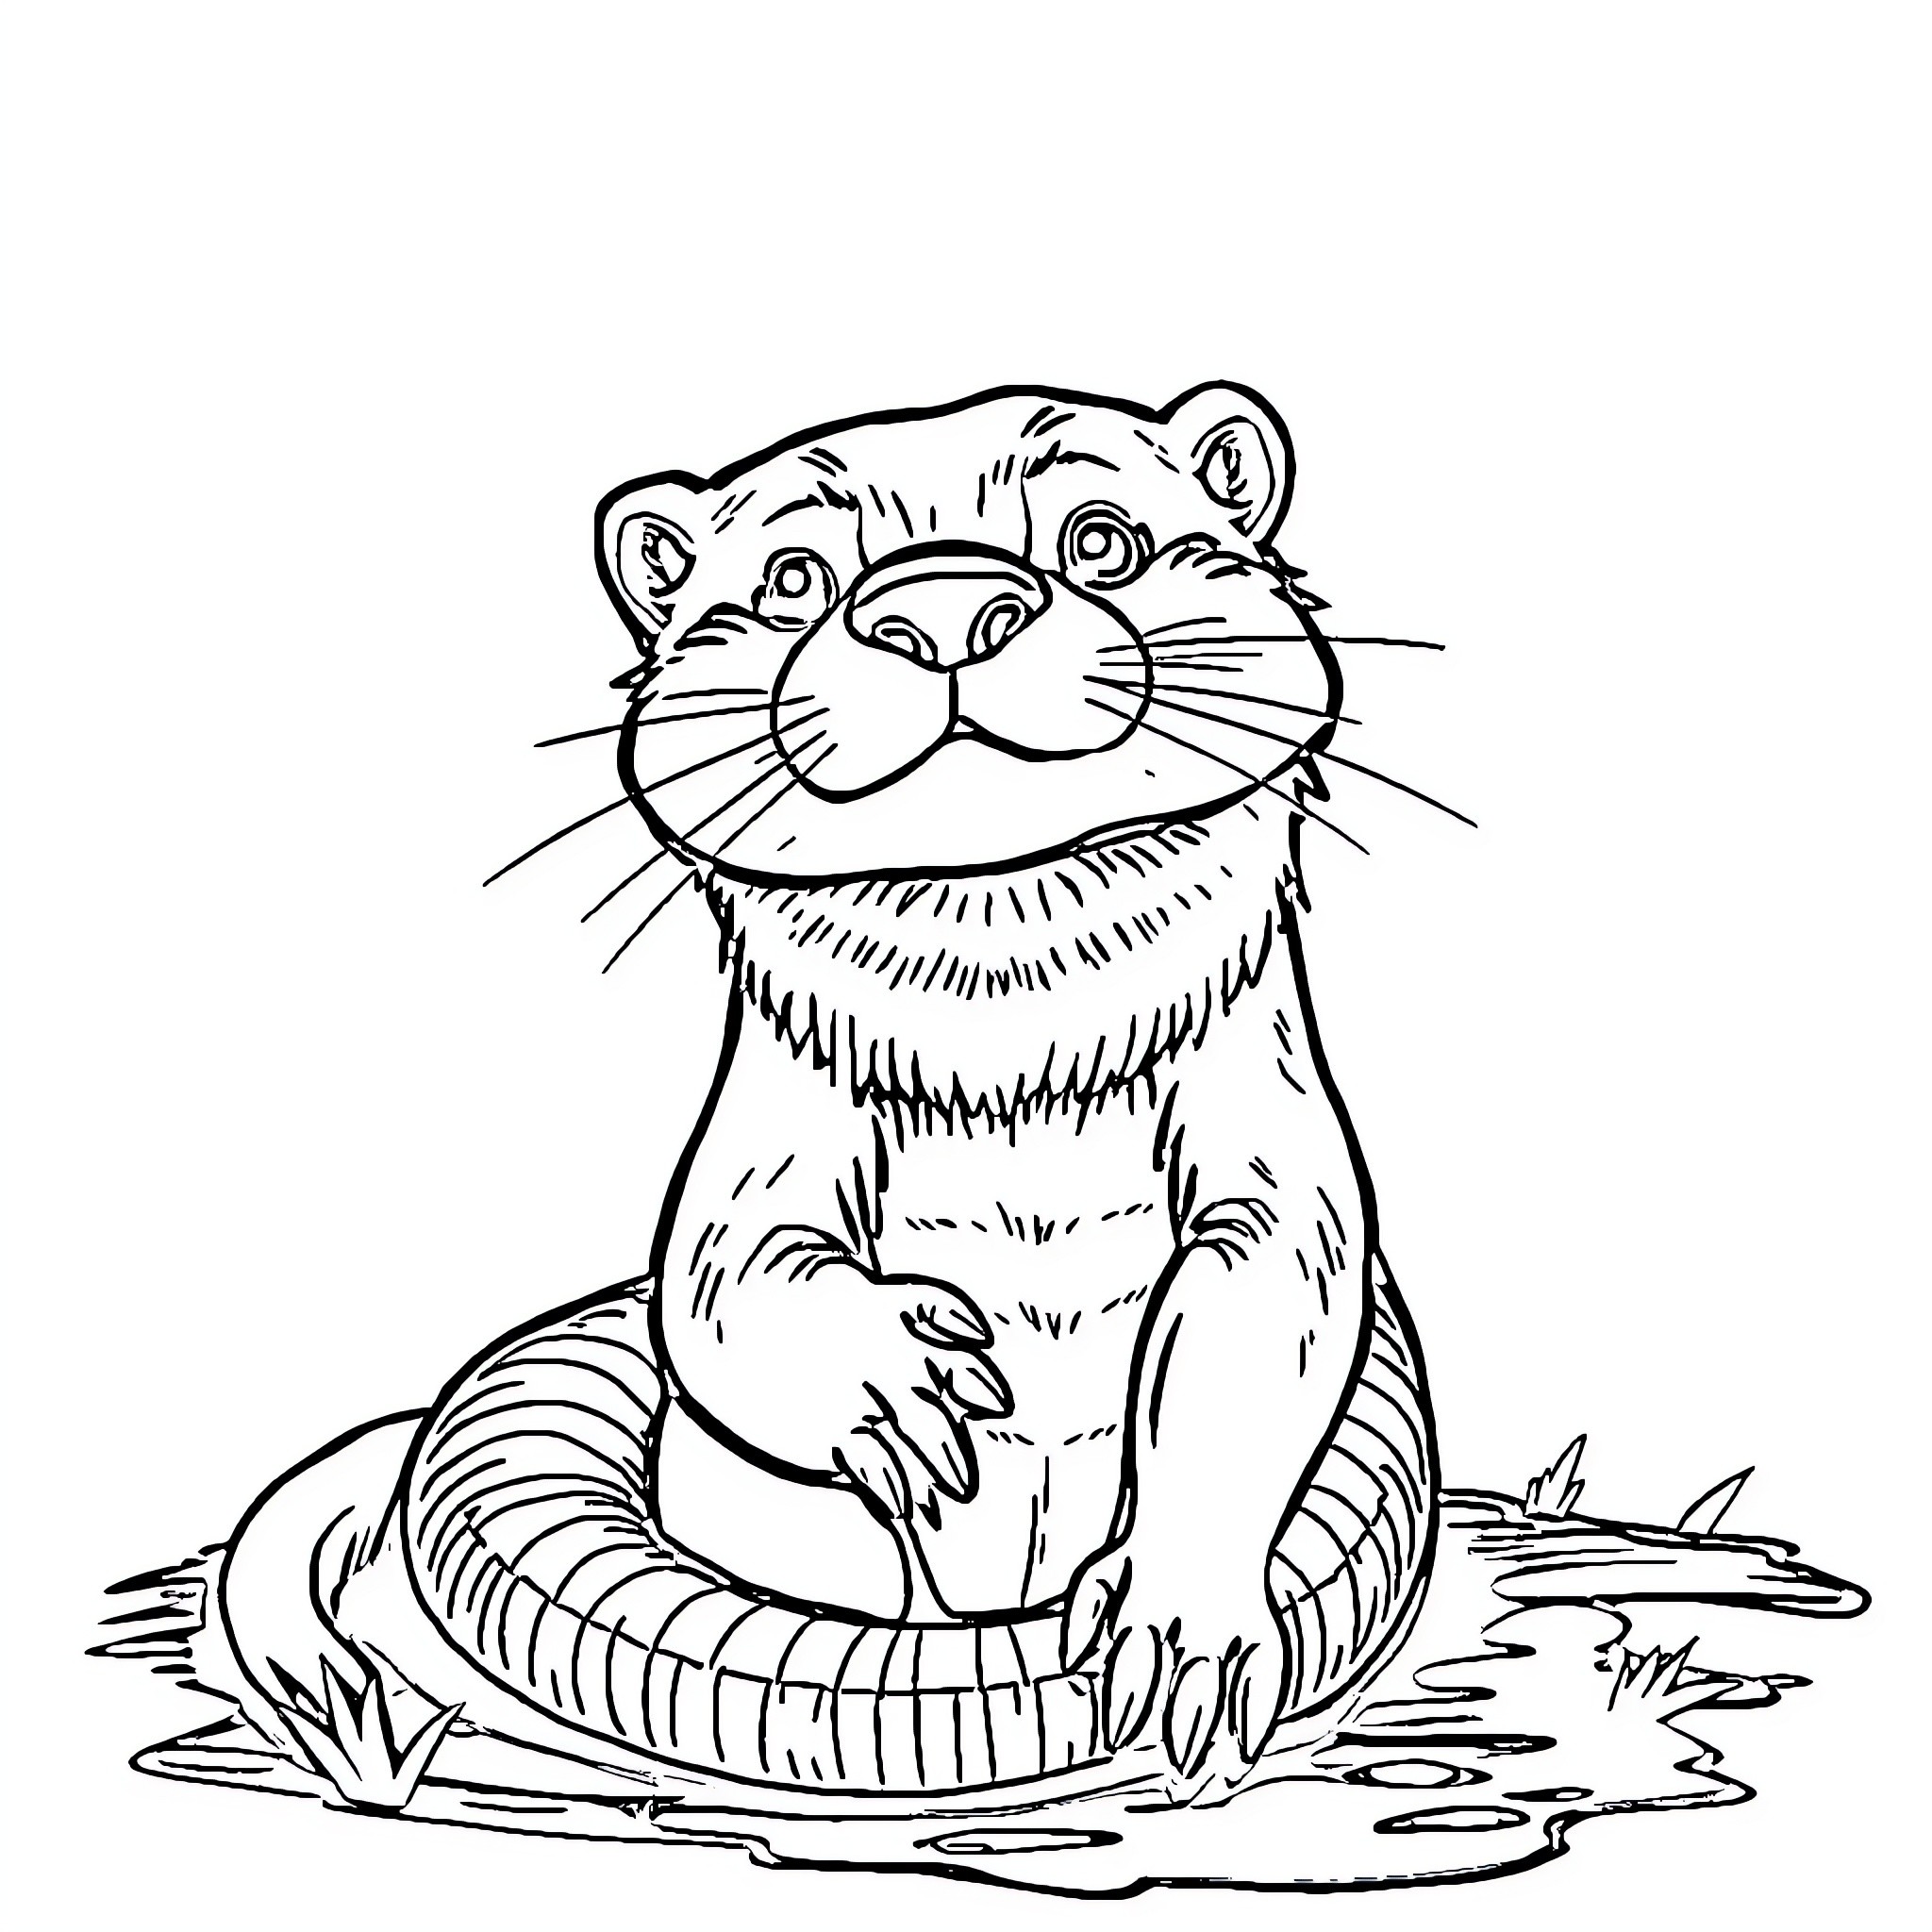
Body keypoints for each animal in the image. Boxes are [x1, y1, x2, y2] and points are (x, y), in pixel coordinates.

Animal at [219, 383, 1435, 1804]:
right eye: (795, 578)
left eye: (1102, 539)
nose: (947, 606)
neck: (1011, 1032)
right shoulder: (764, 1137)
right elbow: (721, 1286)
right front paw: (904, 1378)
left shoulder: (1268, 1123)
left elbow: (1267, 1303)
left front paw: (1180, 1626)